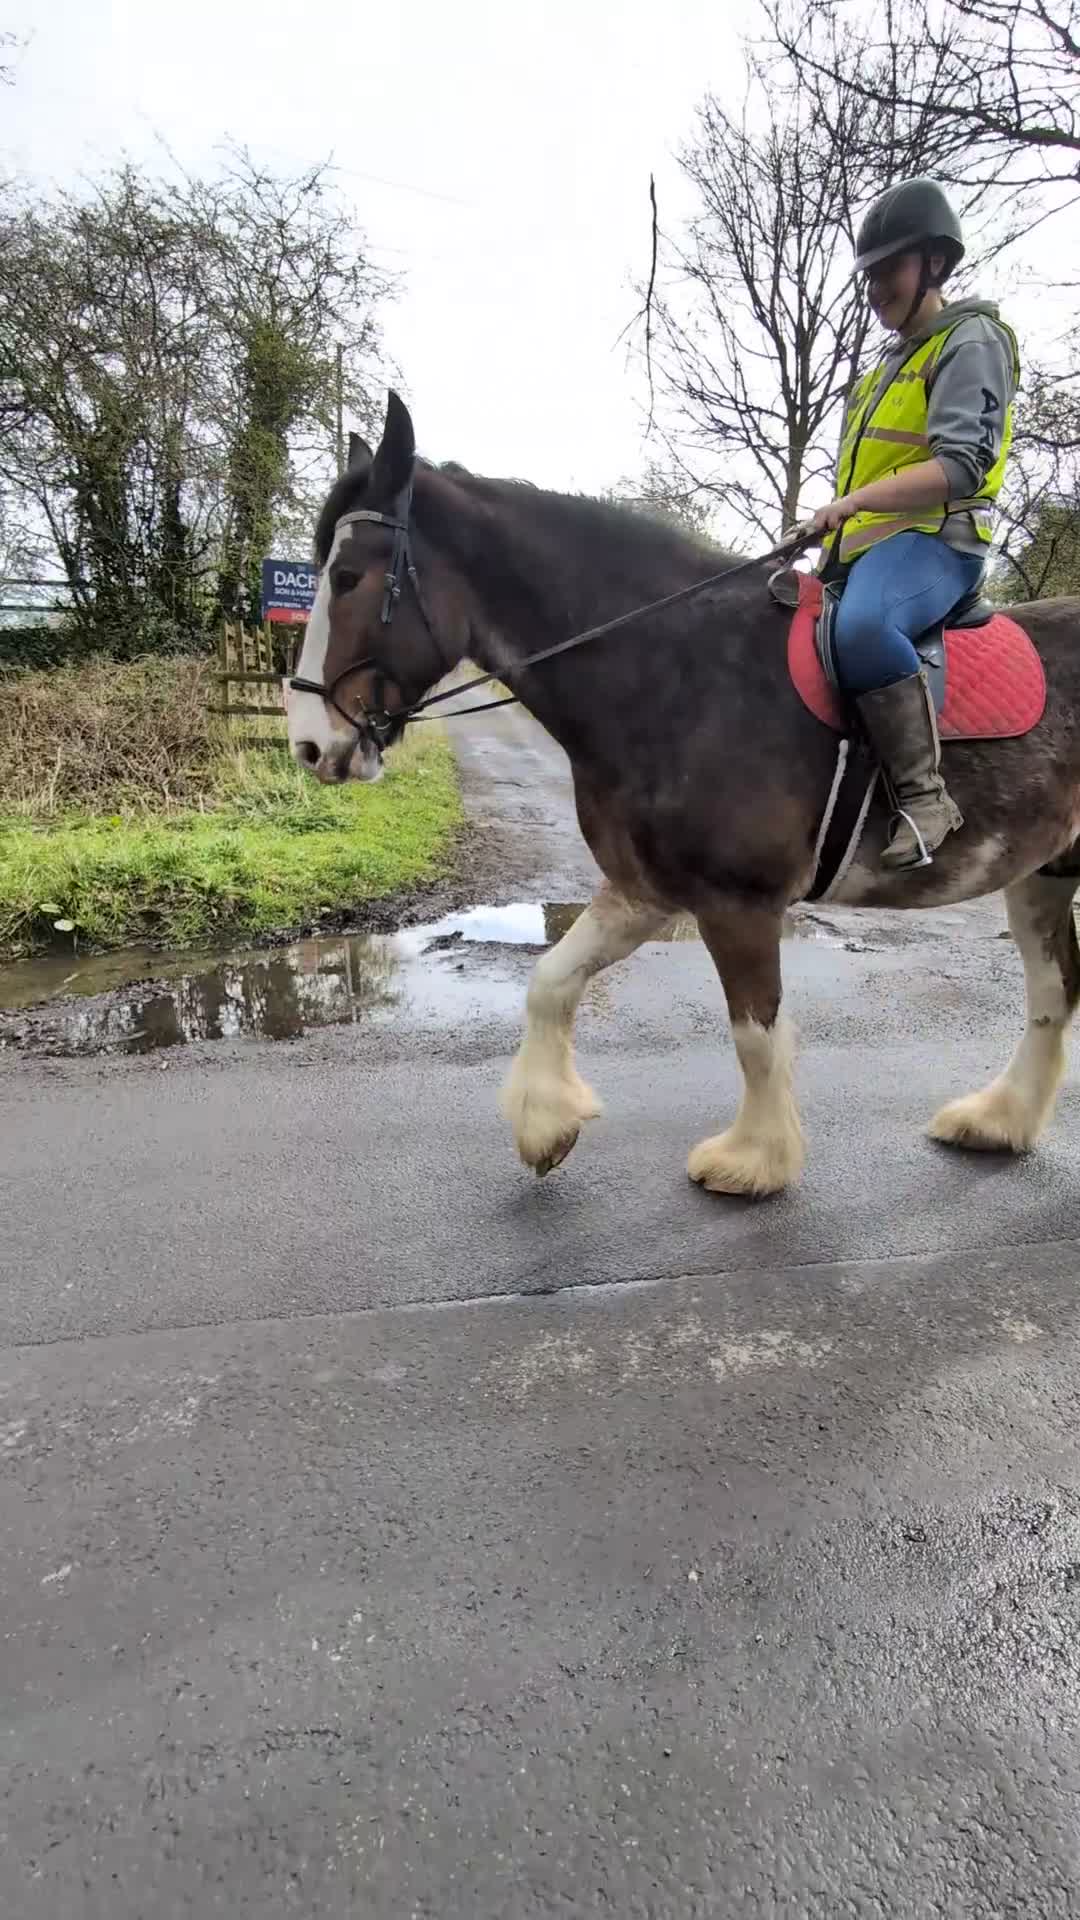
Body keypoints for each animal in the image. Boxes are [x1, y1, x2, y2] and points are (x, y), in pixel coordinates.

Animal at [285, 391, 1080, 1199]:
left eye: (347, 576)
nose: (311, 745)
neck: (678, 671)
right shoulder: (643, 891)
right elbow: (549, 981)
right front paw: (547, 1126)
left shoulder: (739, 903)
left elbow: (754, 1035)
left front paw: (752, 1160)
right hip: (1043, 874)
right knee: (1053, 994)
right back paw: (1000, 1121)